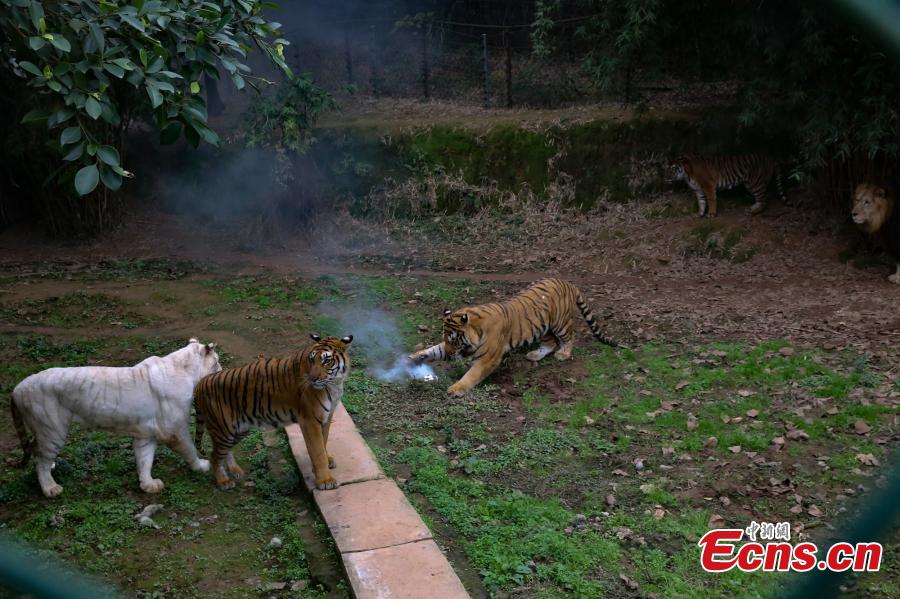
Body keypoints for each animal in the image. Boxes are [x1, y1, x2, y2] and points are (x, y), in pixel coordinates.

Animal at [194, 334, 353, 491]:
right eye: (312, 359)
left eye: (327, 360)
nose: (312, 379)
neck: (335, 383)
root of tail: (201, 383)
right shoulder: (310, 421)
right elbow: (318, 450)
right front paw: (325, 480)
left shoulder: (327, 417)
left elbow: (323, 441)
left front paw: (327, 461)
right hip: (223, 430)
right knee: (214, 456)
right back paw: (223, 482)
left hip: (238, 430)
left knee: (224, 452)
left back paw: (235, 471)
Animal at [408, 278, 619, 396]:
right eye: (447, 340)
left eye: (453, 340)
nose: (451, 354)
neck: (476, 327)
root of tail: (568, 283)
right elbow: (433, 350)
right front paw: (412, 357)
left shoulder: (487, 359)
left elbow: (471, 375)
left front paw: (456, 388)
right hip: (542, 327)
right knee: (550, 343)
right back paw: (535, 355)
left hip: (560, 323)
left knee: (569, 337)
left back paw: (564, 354)